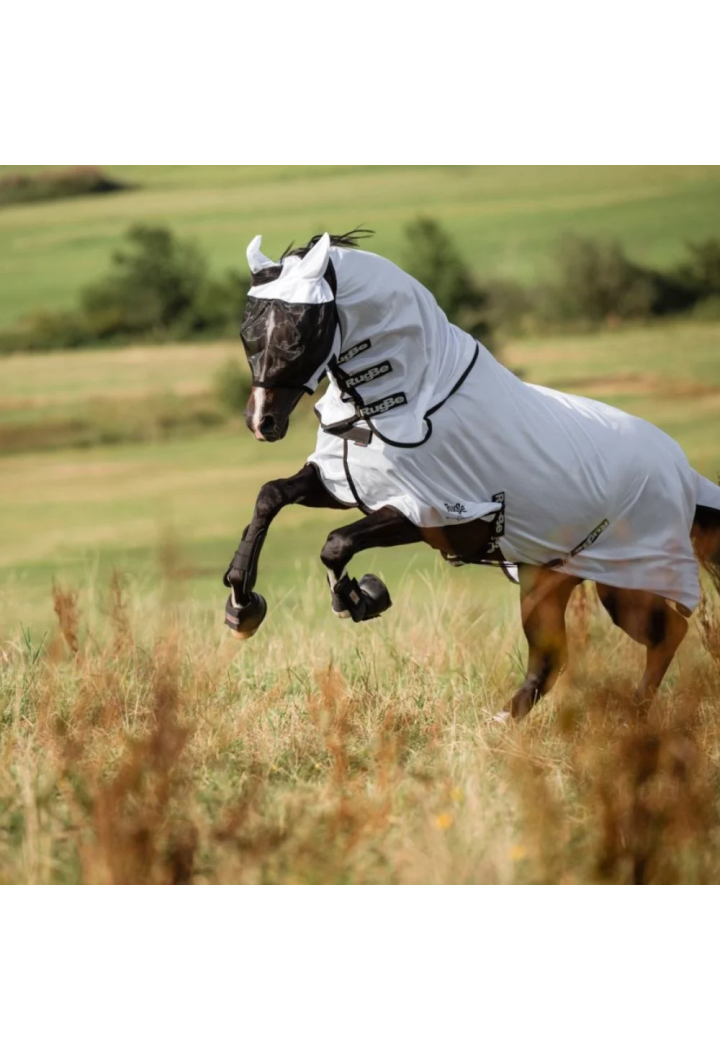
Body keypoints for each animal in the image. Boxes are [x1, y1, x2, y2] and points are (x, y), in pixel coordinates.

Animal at [222, 230, 720, 721]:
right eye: (247, 331)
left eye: (299, 333)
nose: (261, 422)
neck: (408, 404)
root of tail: (683, 472)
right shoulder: (344, 484)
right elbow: (271, 496)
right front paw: (242, 606)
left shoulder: (429, 514)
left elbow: (335, 543)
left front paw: (358, 598)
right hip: (549, 580)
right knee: (552, 658)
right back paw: (506, 724)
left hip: (626, 581)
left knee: (666, 634)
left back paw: (632, 717)